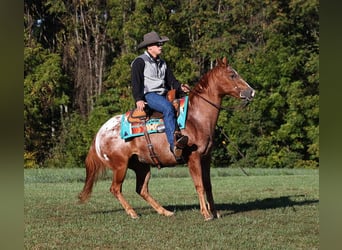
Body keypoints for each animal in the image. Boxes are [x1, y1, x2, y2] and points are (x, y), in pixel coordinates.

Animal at [77, 57, 254, 221]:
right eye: (232, 75)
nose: (251, 92)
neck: (195, 118)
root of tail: (100, 133)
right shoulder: (194, 158)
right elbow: (199, 185)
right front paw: (206, 214)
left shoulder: (206, 158)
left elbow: (208, 185)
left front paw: (215, 212)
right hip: (120, 166)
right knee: (115, 188)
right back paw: (133, 213)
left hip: (141, 166)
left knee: (141, 189)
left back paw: (165, 211)